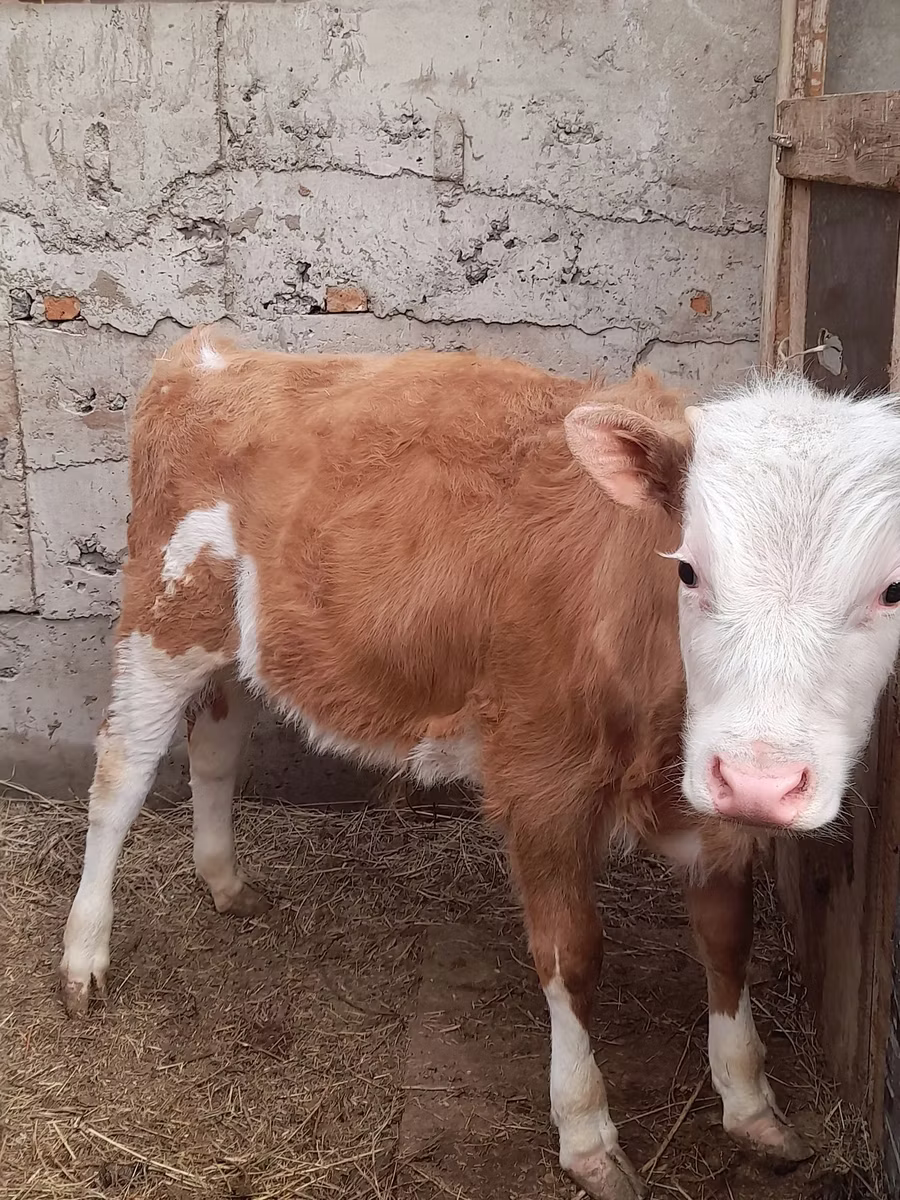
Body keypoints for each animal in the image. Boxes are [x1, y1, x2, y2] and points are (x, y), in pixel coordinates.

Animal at [60, 329, 900, 1200]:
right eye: (689, 568)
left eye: (891, 591)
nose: (763, 779)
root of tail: (212, 351)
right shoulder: (541, 783)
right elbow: (572, 956)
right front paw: (587, 1132)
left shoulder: (713, 809)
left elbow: (730, 939)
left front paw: (751, 1106)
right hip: (162, 620)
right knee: (120, 778)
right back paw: (83, 955)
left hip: (230, 646)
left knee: (215, 752)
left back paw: (225, 881)